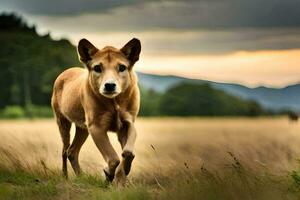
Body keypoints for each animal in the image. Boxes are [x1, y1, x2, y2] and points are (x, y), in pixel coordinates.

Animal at [51, 38, 141, 186]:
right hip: (63, 121)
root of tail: (65, 72)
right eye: (97, 68)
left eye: (122, 67)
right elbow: (113, 158)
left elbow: (128, 153)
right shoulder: (96, 127)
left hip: (83, 128)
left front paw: (121, 181)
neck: (114, 101)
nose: (109, 85)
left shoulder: (128, 123)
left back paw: (81, 176)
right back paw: (65, 177)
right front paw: (108, 174)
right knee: (65, 150)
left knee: (72, 151)